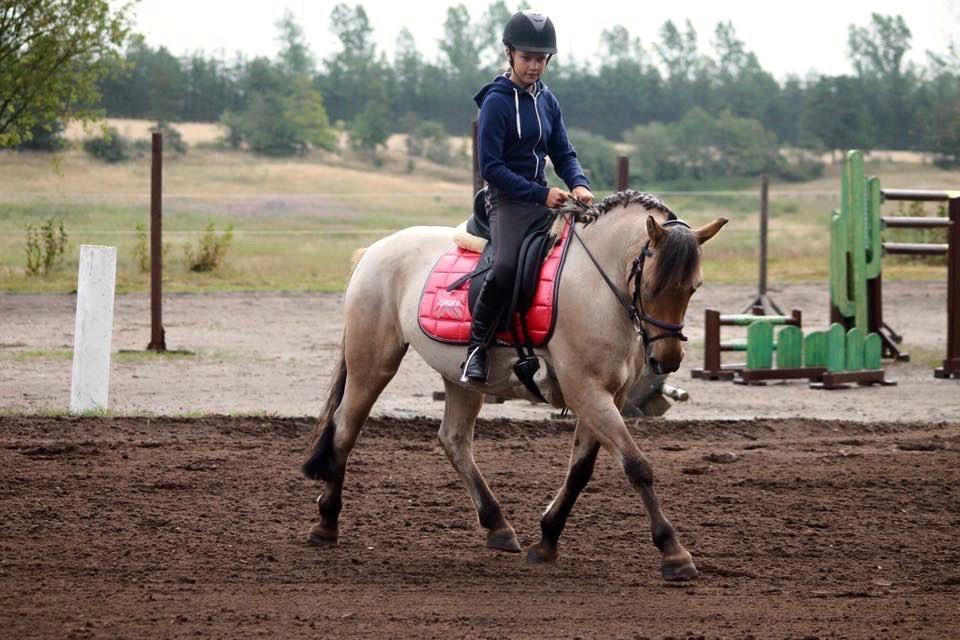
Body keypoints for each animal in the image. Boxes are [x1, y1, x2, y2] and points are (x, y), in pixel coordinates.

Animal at [304, 190, 724, 580]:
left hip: (460, 378)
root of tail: (374, 251)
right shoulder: (586, 391)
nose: (667, 360)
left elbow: (580, 471)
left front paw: (547, 540)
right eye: (651, 284)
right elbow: (636, 466)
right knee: (345, 429)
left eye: (694, 287)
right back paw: (326, 524)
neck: (598, 286)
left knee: (453, 439)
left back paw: (498, 526)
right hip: (372, 364)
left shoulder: (610, 396)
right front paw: (674, 553)